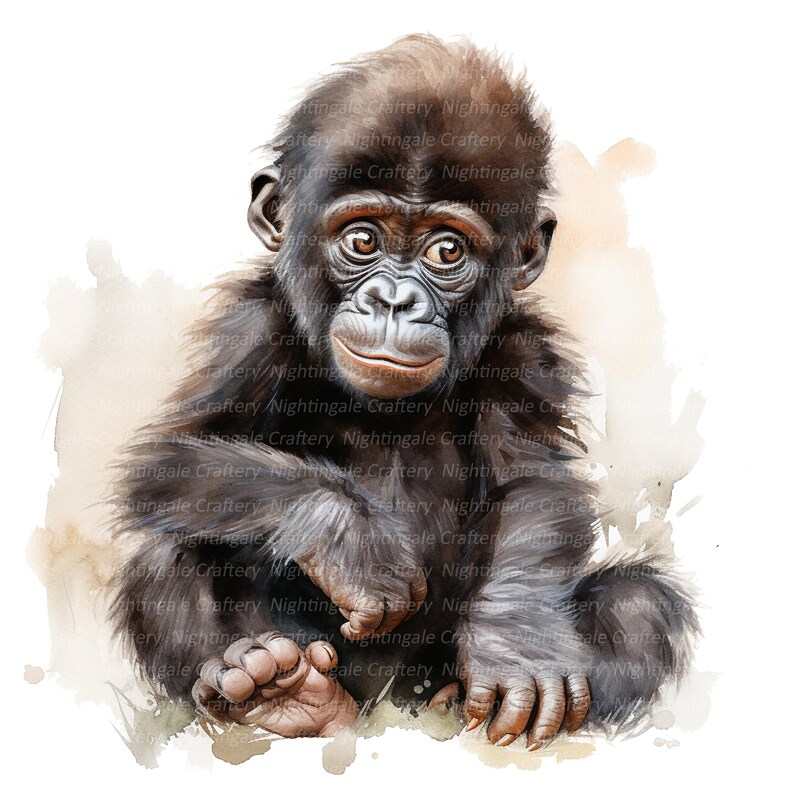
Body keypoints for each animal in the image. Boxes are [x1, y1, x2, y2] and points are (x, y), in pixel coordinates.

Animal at [111, 34, 698, 749]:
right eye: (363, 238)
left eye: (447, 252)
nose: (394, 299)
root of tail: (380, 709)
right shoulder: (249, 331)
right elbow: (175, 457)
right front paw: (349, 541)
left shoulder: (524, 351)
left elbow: (531, 483)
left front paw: (517, 644)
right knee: (165, 552)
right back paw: (281, 692)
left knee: (641, 607)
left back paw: (423, 702)